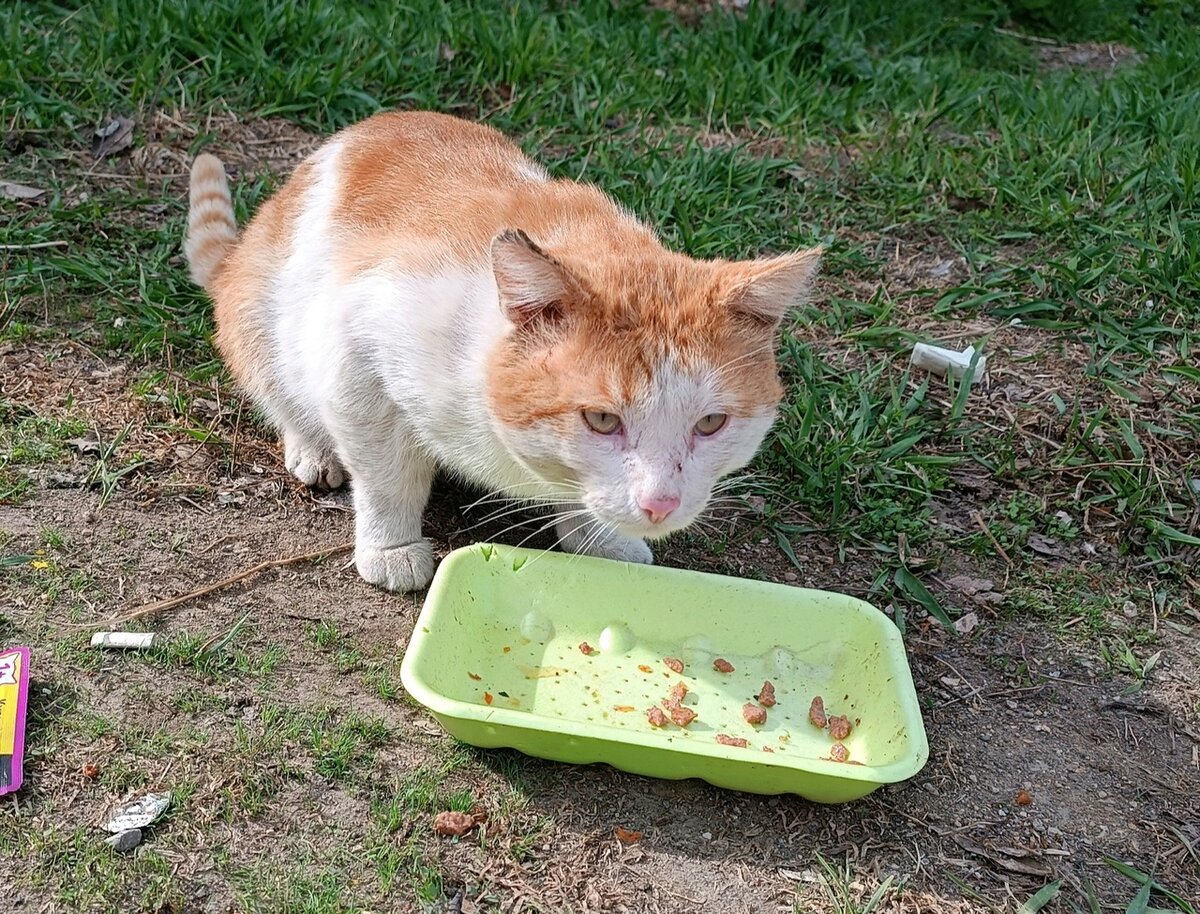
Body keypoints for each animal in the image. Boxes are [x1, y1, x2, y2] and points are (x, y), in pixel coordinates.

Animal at [184, 110, 825, 590]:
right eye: (601, 420)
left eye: (711, 423)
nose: (660, 505)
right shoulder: (357, 348)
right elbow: (386, 475)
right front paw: (391, 547)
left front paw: (604, 540)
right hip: (263, 319)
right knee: (285, 393)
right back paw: (313, 449)